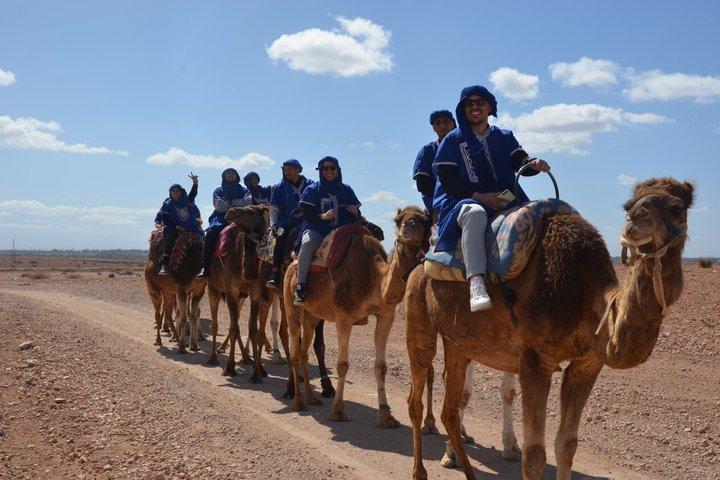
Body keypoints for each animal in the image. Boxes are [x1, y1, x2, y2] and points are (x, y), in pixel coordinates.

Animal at [284, 206, 431, 426]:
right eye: (398, 220)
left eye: (424, 220)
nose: (408, 226)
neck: (373, 278)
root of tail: (291, 263)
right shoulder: (344, 317)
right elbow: (342, 365)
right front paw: (337, 411)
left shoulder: (386, 315)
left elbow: (381, 367)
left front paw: (386, 416)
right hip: (291, 303)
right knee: (294, 350)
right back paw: (297, 402)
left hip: (312, 314)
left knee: (303, 350)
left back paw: (311, 398)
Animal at [405, 177, 694, 480]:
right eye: (628, 206)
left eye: (677, 208)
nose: (638, 219)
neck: (584, 295)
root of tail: (423, 262)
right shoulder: (535, 360)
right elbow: (534, 454)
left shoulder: (587, 364)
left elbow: (567, 445)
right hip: (418, 315)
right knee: (416, 398)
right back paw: (420, 471)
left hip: (459, 343)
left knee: (450, 408)